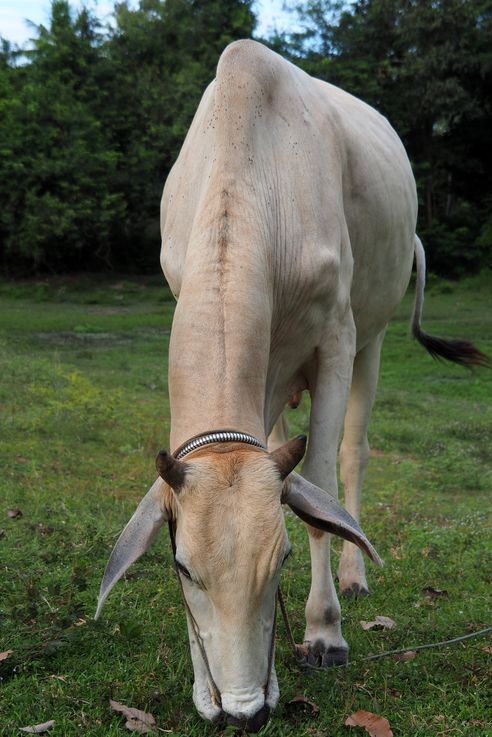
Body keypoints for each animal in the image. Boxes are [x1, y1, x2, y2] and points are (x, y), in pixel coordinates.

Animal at [97, 40, 488, 732]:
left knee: (354, 454)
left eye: (278, 561)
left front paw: (325, 632)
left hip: (373, 338)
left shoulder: (336, 338)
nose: (244, 710)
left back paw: (353, 577)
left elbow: (320, 490)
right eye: (181, 566)